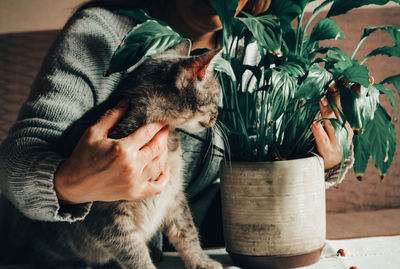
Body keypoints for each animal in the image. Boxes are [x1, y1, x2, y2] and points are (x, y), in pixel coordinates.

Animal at [28, 40, 222, 268]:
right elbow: (134, 254)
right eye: (216, 97)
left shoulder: (173, 194)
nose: (218, 116)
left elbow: (187, 232)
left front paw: (202, 261)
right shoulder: (108, 217)